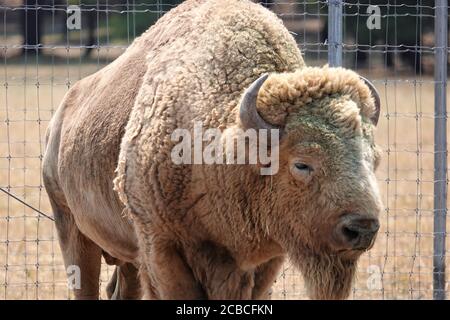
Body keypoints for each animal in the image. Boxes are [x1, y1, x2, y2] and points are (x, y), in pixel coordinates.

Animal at [42, 0, 382, 300]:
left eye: (373, 160)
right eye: (302, 164)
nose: (362, 228)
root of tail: (59, 118)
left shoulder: (265, 258)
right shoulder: (161, 245)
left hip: (124, 252)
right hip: (71, 227)